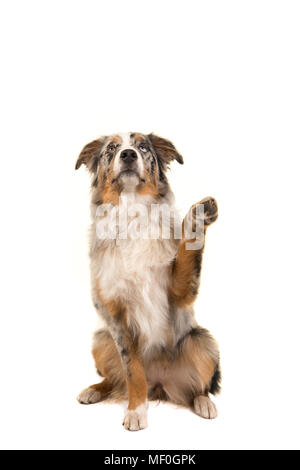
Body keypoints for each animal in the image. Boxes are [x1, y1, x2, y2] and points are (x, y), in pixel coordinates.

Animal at [75, 131, 220, 430]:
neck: (132, 214)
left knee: (198, 387)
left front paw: (198, 218)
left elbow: (186, 255)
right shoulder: (113, 312)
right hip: (101, 340)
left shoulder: (178, 293)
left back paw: (204, 402)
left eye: (142, 147)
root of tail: (160, 385)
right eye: (111, 148)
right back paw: (94, 390)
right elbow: (132, 370)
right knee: (115, 378)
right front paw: (136, 411)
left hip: (202, 341)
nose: (129, 154)